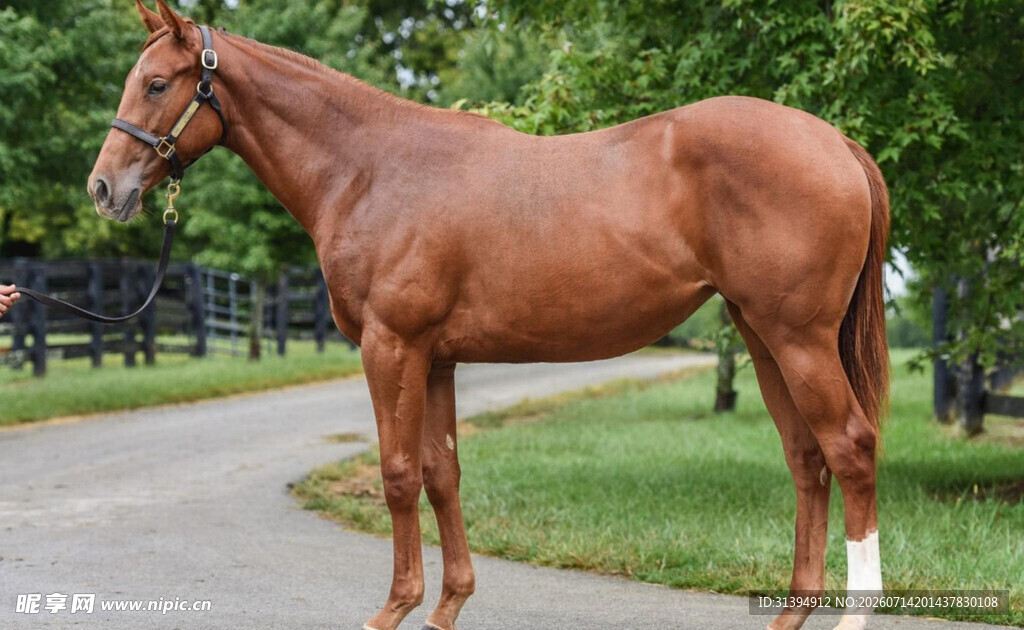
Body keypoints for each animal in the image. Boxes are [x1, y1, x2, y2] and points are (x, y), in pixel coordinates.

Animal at [89, 2, 889, 629]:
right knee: (806, 457)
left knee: (849, 448)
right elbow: (443, 472)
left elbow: (397, 473)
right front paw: (447, 606)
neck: (371, 168)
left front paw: (395, 607)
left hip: (798, 339)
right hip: (762, 336)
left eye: (158, 83)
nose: (104, 188)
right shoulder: (437, 358)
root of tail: (835, 142)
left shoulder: (391, 347)